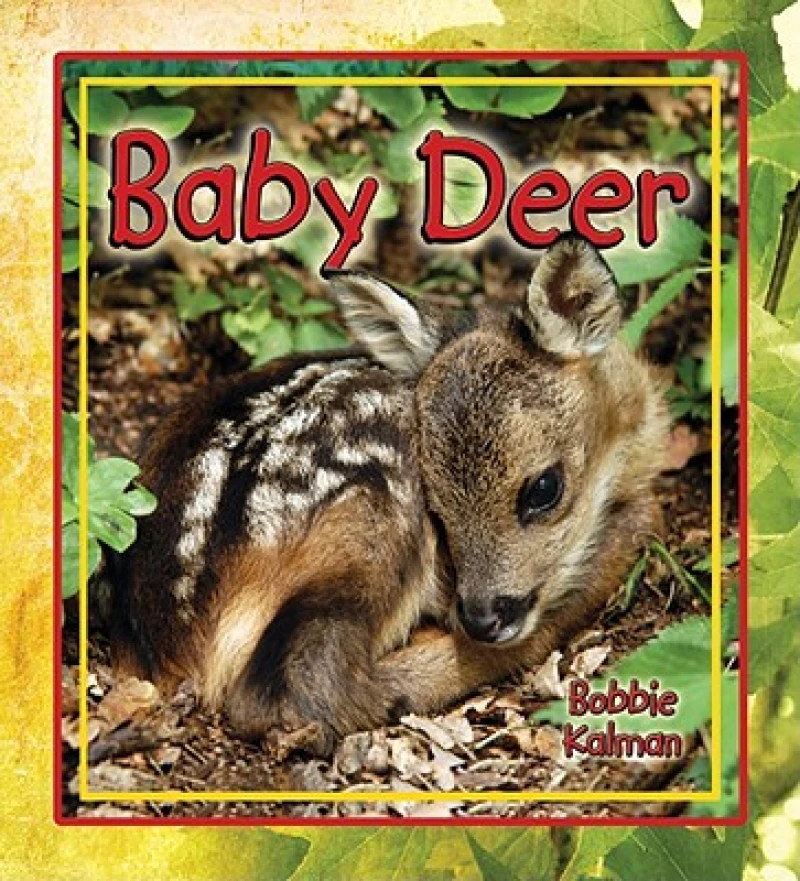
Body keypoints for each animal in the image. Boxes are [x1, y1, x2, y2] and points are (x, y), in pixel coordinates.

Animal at [110, 235, 669, 756]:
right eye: (437, 507)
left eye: (543, 489)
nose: (482, 617)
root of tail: (173, 638)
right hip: (374, 498)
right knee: (296, 690)